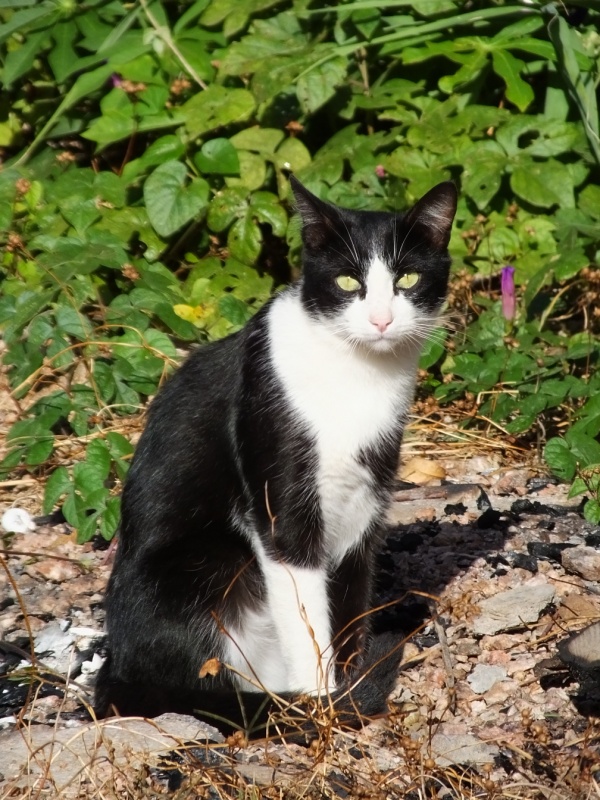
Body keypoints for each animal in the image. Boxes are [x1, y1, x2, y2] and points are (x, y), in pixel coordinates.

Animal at [96, 177, 458, 736]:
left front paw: (347, 687)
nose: (381, 320)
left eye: (409, 278)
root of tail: (117, 666)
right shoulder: (278, 493)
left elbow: (349, 596)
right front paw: (325, 705)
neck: (357, 375)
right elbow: (304, 602)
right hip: (206, 565)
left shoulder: (366, 496)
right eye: (348, 282)